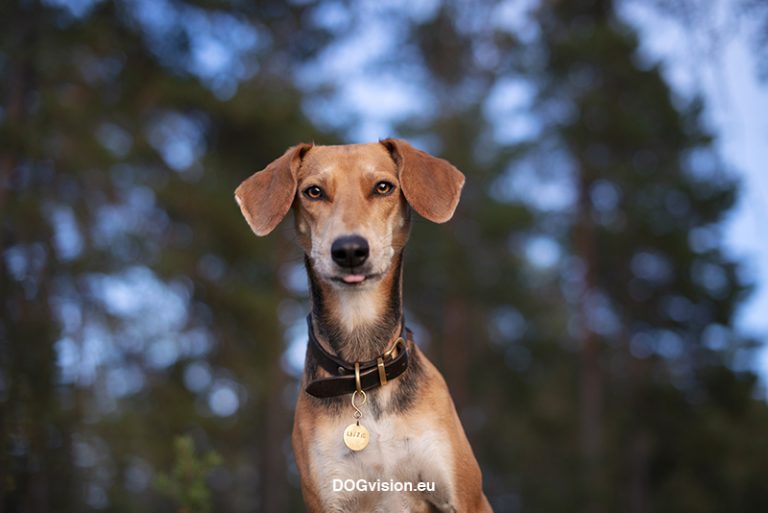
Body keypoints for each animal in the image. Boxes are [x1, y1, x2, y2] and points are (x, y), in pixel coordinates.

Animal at [234, 140, 492, 512]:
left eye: (383, 187)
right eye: (313, 192)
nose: (350, 250)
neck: (364, 368)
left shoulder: (464, 496)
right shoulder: (330, 497)